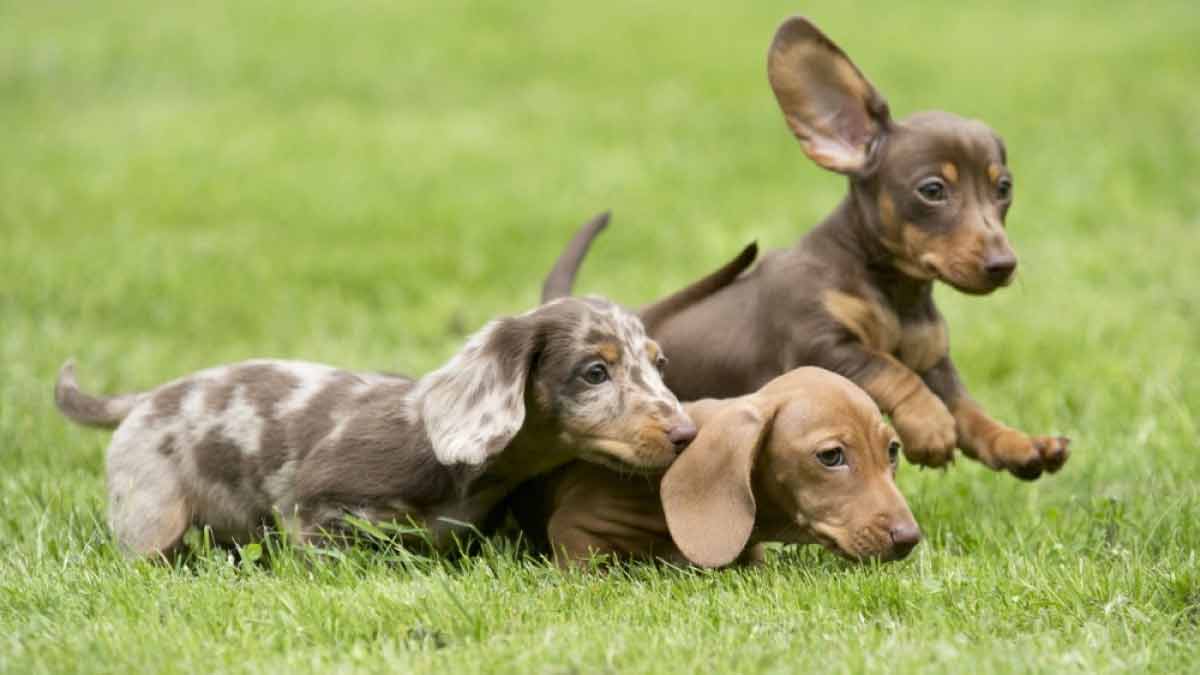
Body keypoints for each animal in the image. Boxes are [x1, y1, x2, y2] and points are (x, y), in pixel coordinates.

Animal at [54, 295, 696, 557]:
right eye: (595, 372)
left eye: (660, 363)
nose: (687, 436)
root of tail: (143, 400)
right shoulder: (315, 507)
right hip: (150, 511)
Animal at [544, 15, 1070, 478]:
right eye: (933, 190)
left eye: (1003, 188)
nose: (1004, 265)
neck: (892, 291)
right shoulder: (825, 346)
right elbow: (893, 372)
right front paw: (931, 427)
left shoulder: (934, 362)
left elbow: (967, 409)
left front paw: (1017, 444)